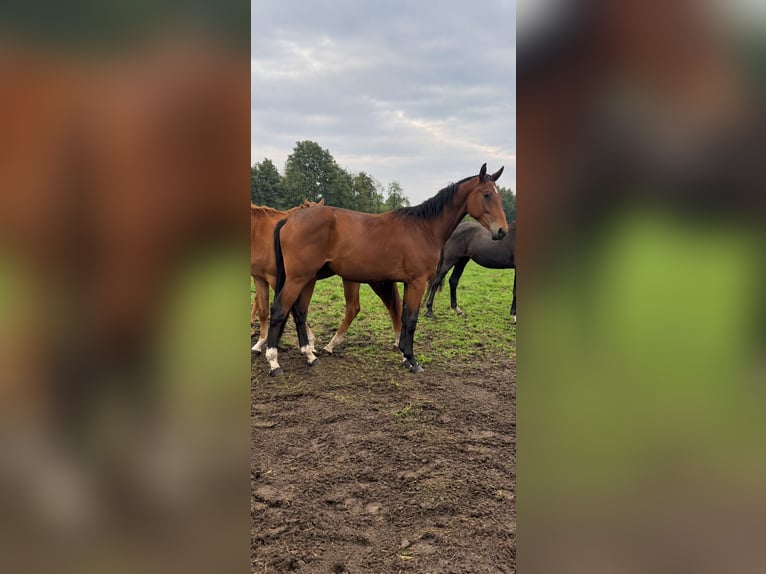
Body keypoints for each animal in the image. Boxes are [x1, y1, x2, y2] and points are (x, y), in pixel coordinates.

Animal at [250, 200, 403, 354]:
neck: (261, 232)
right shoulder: (259, 279)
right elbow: (263, 310)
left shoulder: (279, 279)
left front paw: (310, 343)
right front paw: (260, 343)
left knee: (362, 307)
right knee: (383, 305)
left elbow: (289, 308)